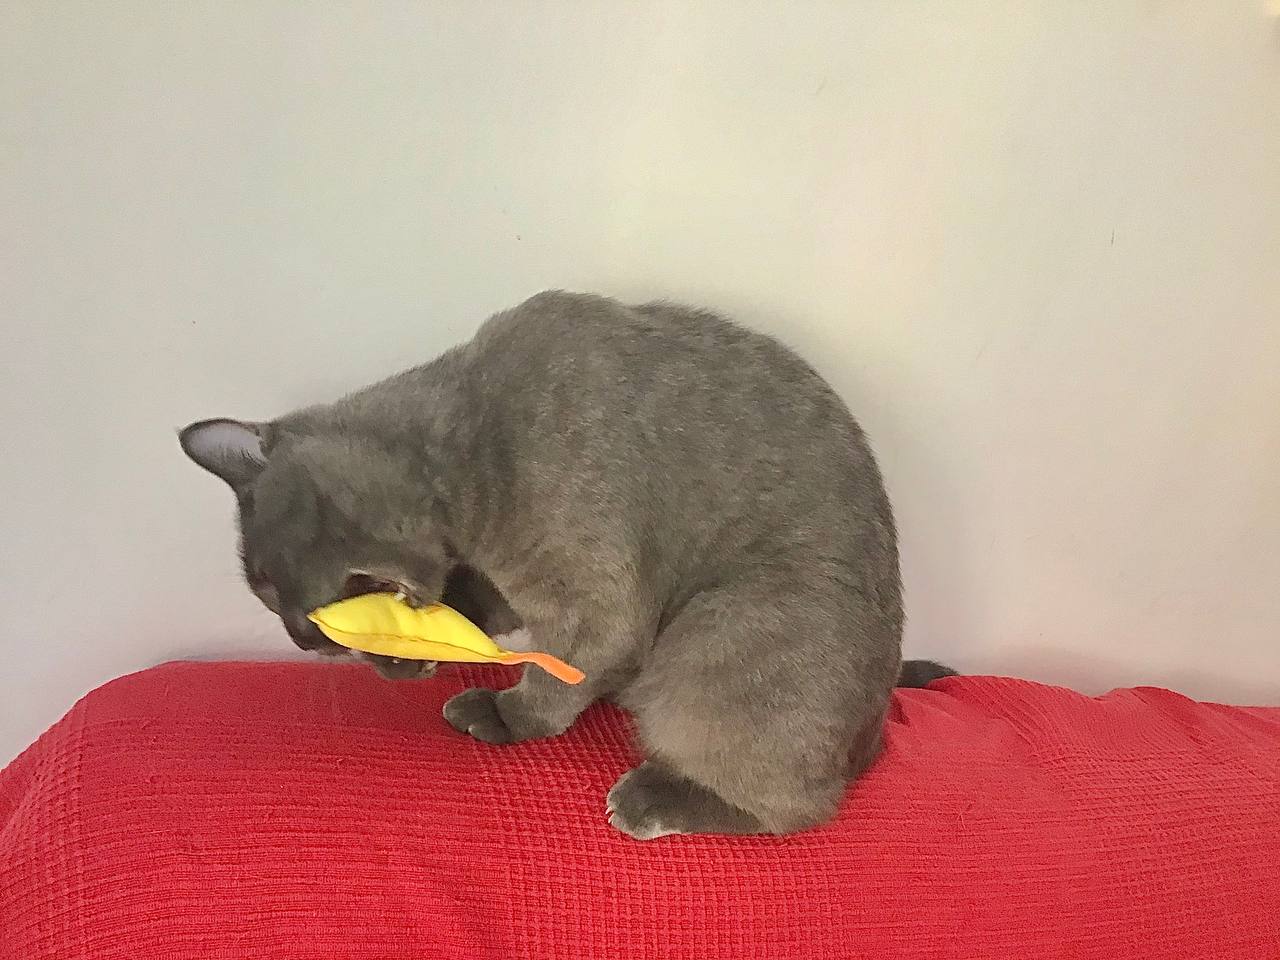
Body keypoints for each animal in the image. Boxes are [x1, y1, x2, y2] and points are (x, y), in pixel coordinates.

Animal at [180, 291, 955, 839]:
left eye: (266, 581)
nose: (301, 638)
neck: (465, 451)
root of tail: (873, 732)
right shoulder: (505, 580)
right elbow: (481, 606)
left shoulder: (593, 600)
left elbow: (556, 677)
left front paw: (504, 713)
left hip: (725, 634)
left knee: (798, 805)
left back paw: (650, 796)